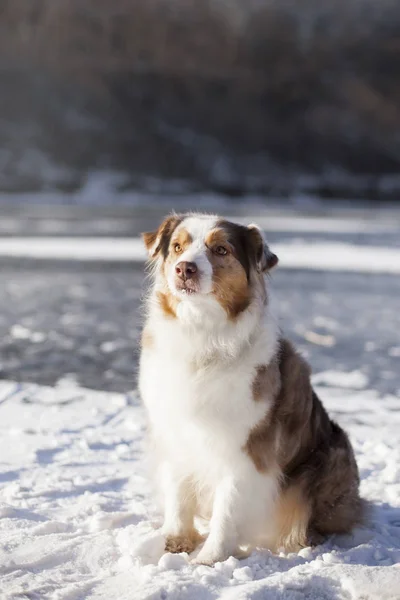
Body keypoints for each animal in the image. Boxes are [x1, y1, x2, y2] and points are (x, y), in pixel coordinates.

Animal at [139, 213, 364, 564]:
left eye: (221, 249)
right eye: (177, 247)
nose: (184, 268)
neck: (203, 336)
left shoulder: (246, 450)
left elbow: (228, 508)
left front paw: (209, 559)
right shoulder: (176, 432)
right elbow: (179, 494)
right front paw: (174, 543)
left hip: (327, 463)